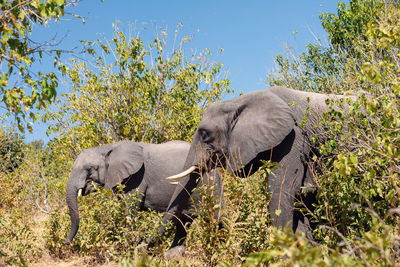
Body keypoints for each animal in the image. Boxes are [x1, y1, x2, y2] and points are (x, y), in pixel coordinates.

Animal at [64, 140, 223, 258]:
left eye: (90, 169)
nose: (65, 243)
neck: (106, 147)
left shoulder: (138, 177)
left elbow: (130, 210)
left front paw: (129, 251)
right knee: (183, 221)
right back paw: (171, 256)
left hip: (208, 184)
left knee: (213, 217)